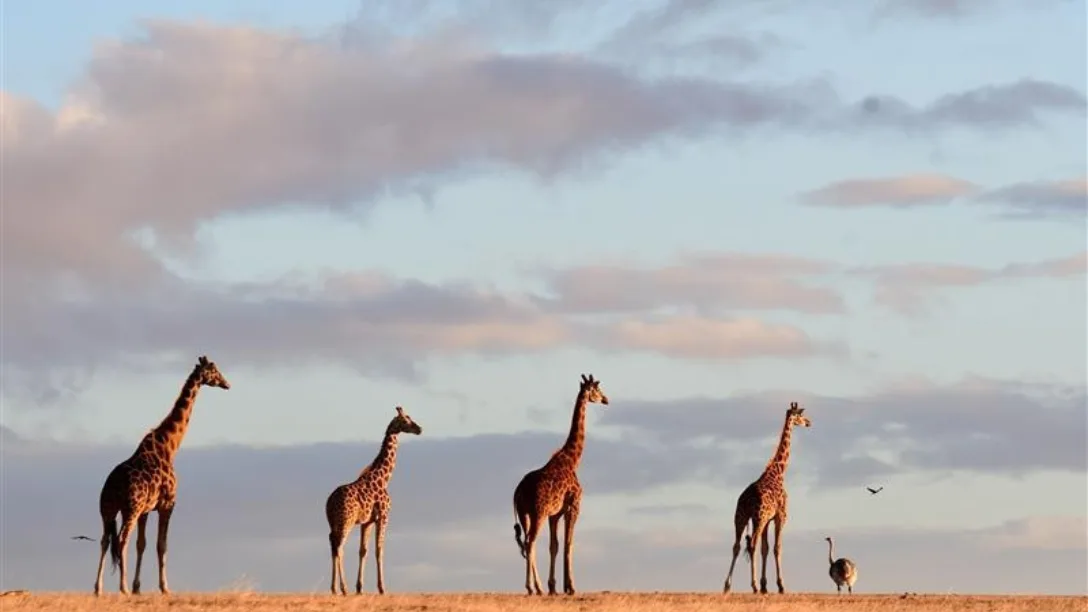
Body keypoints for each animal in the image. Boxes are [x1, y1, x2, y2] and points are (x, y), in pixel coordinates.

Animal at [93, 355, 231, 596]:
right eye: (214, 370)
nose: (227, 384)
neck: (170, 446)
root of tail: (113, 484)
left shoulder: (147, 510)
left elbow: (142, 544)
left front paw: (138, 587)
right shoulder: (168, 504)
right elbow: (161, 545)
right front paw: (164, 587)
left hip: (107, 508)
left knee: (105, 540)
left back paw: (98, 588)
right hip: (130, 508)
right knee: (121, 540)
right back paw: (122, 588)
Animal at [326, 406, 423, 595]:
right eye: (406, 419)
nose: (419, 429)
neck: (384, 478)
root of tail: (329, 502)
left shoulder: (367, 521)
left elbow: (363, 551)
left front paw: (360, 588)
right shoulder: (384, 517)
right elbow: (379, 550)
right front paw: (382, 588)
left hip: (333, 523)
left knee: (332, 544)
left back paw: (334, 588)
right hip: (346, 521)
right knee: (339, 546)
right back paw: (343, 588)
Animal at [512, 373, 609, 596]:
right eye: (597, 389)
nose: (606, 400)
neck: (573, 459)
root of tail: (517, 492)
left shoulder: (555, 514)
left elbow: (554, 546)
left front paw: (554, 586)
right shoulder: (574, 506)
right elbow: (569, 543)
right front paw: (570, 587)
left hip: (525, 513)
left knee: (527, 542)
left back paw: (537, 587)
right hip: (537, 512)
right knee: (530, 541)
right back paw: (532, 587)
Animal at [722, 401, 811, 595]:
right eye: (800, 415)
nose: (809, 422)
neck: (778, 472)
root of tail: (746, 500)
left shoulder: (767, 520)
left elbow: (766, 548)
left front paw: (765, 585)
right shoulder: (780, 516)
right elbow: (777, 548)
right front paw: (780, 586)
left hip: (740, 517)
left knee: (737, 546)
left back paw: (727, 585)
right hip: (758, 518)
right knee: (752, 545)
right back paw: (753, 586)